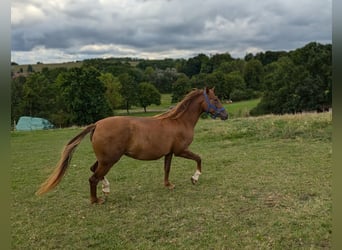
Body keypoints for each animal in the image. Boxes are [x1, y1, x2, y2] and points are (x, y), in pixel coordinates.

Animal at [36, 87, 228, 203]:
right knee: (93, 178)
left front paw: (168, 185)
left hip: (105, 159)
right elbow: (199, 159)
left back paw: (106, 189)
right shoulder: (181, 151)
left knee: (94, 171)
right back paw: (96, 200)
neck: (178, 121)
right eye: (215, 99)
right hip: (109, 160)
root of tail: (97, 124)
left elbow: (166, 169)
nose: (225, 115)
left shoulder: (169, 153)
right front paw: (195, 178)